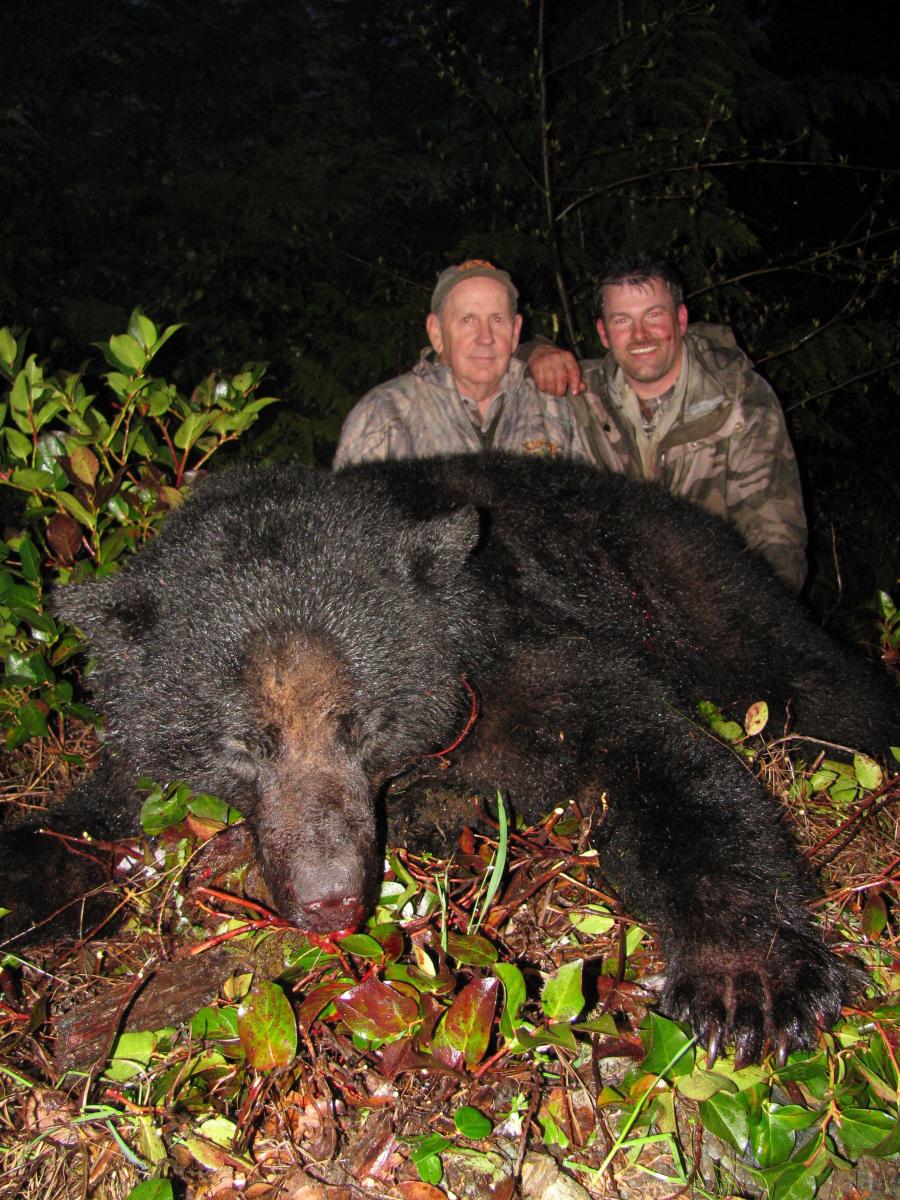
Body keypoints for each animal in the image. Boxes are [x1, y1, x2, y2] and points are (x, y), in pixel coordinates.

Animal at [1, 452, 896, 1067]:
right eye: (241, 744)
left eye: (361, 724)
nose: (331, 902)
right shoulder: (143, 781)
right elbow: (83, 831)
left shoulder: (506, 658)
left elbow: (654, 754)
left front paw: (751, 981)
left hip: (694, 591)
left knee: (807, 682)